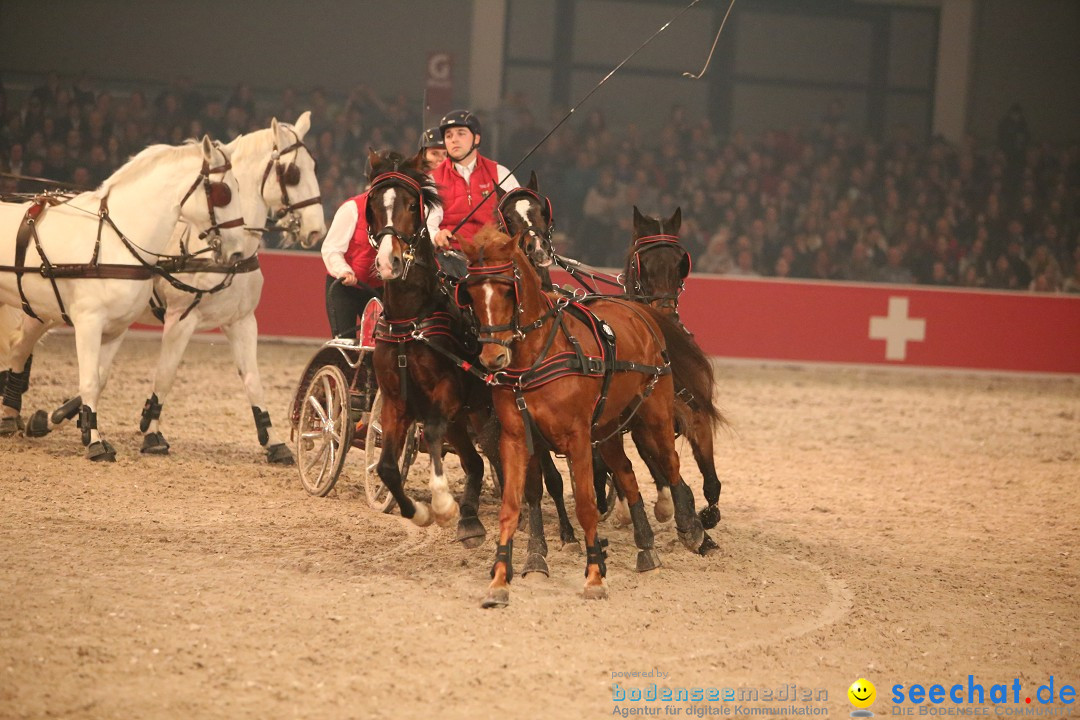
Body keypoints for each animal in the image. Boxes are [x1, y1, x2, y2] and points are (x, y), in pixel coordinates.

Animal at [0, 138, 247, 459]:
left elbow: (100, 380)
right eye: (224, 192)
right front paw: (95, 443)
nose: (239, 251)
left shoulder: (115, 329)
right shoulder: (88, 323)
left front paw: (84, 430)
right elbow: (89, 381)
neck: (115, 241)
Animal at [457, 226, 717, 608]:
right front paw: (500, 581)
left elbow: (585, 506)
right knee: (627, 475)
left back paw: (693, 528)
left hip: (654, 415)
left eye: (508, 287)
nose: (493, 358)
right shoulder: (517, 439)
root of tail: (638, 310)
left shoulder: (577, 438)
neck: (539, 354)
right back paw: (646, 549)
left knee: (671, 466)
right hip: (607, 428)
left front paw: (594, 577)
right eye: (471, 292)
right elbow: (513, 505)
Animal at [626, 205, 725, 533]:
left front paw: (708, 517)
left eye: (681, 262)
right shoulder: (648, 427)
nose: (665, 313)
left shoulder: (698, 417)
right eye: (641, 263)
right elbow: (669, 473)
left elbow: (711, 483)